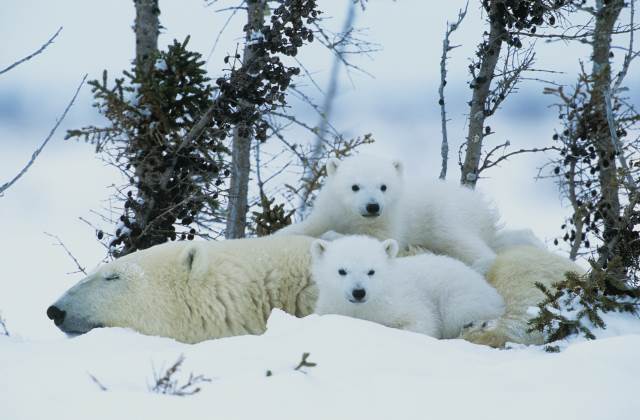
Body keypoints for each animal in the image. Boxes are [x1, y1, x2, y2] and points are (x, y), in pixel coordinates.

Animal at [276, 155, 502, 272]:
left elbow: (380, 240)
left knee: (459, 239)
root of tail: (483, 207)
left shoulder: (391, 219)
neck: (352, 215)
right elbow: (310, 225)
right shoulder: (331, 208)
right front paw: (282, 234)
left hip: (447, 213)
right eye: (355, 187)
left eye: (383, 186)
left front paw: (332, 235)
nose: (372, 206)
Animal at [310, 235, 506, 339]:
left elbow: (422, 323)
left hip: (460, 295)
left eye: (371, 271)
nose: (359, 292)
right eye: (342, 271)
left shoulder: (400, 301)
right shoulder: (331, 306)